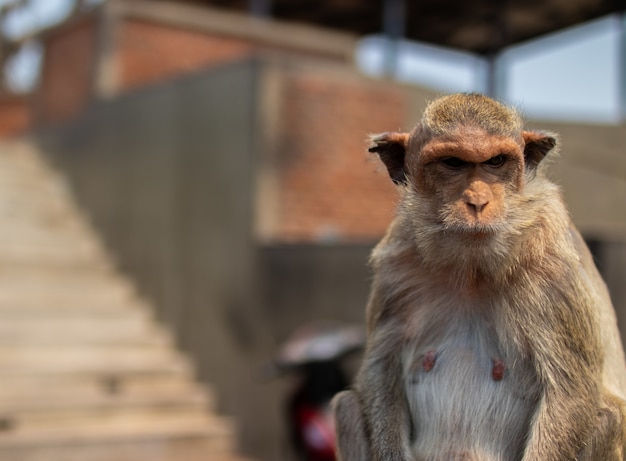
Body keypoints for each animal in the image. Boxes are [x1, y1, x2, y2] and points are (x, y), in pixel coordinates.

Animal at [334, 93, 626, 460]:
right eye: (452, 163)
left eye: (496, 161)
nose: (477, 201)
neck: (472, 269)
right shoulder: (397, 266)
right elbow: (380, 368)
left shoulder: (552, 273)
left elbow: (570, 392)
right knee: (347, 405)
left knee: (608, 417)